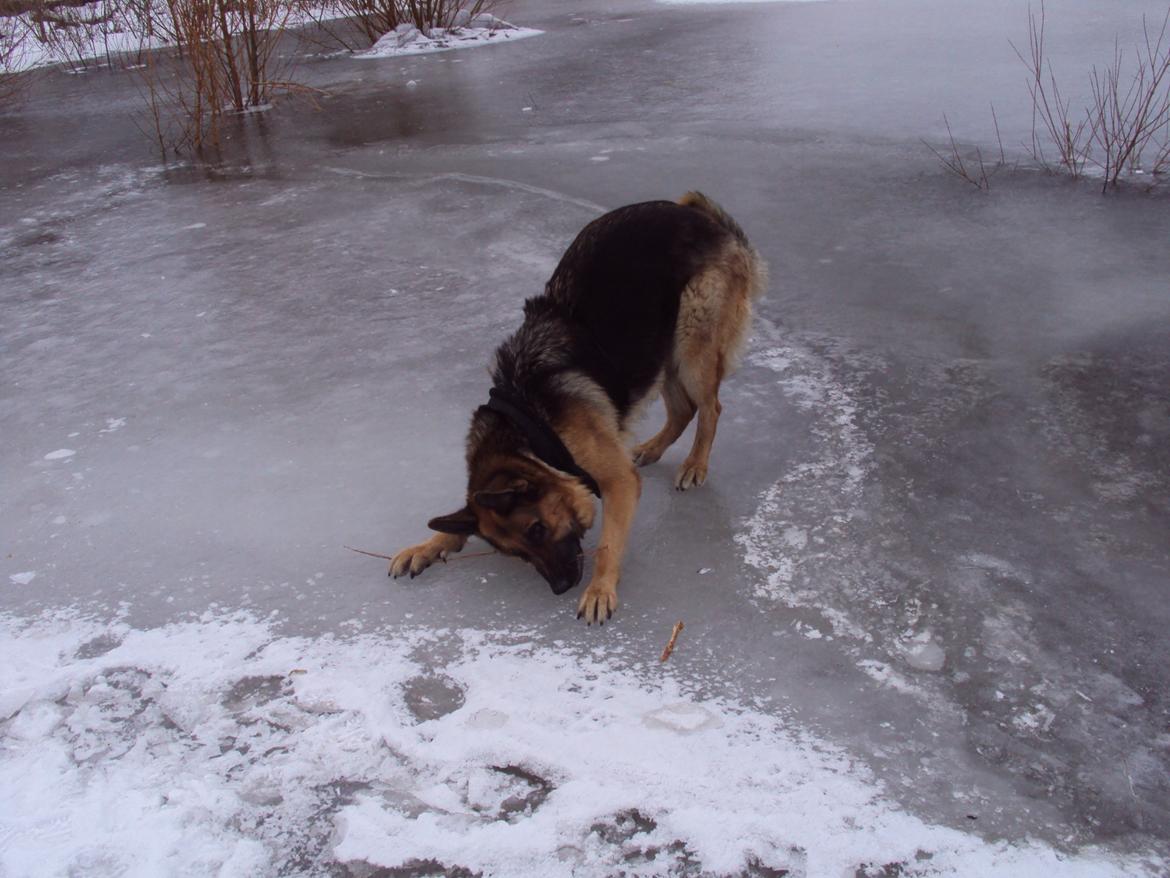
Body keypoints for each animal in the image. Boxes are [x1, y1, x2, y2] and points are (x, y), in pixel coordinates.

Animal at [393, 194, 767, 627]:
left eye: (537, 530)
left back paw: (695, 464)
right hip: (660, 353)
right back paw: (652, 449)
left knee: (710, 407)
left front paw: (600, 589)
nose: (560, 587)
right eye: (517, 552)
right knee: (683, 410)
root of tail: (701, 214)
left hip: (692, 347)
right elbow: (461, 517)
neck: (529, 424)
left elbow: (607, 544)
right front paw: (427, 544)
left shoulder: (619, 482)